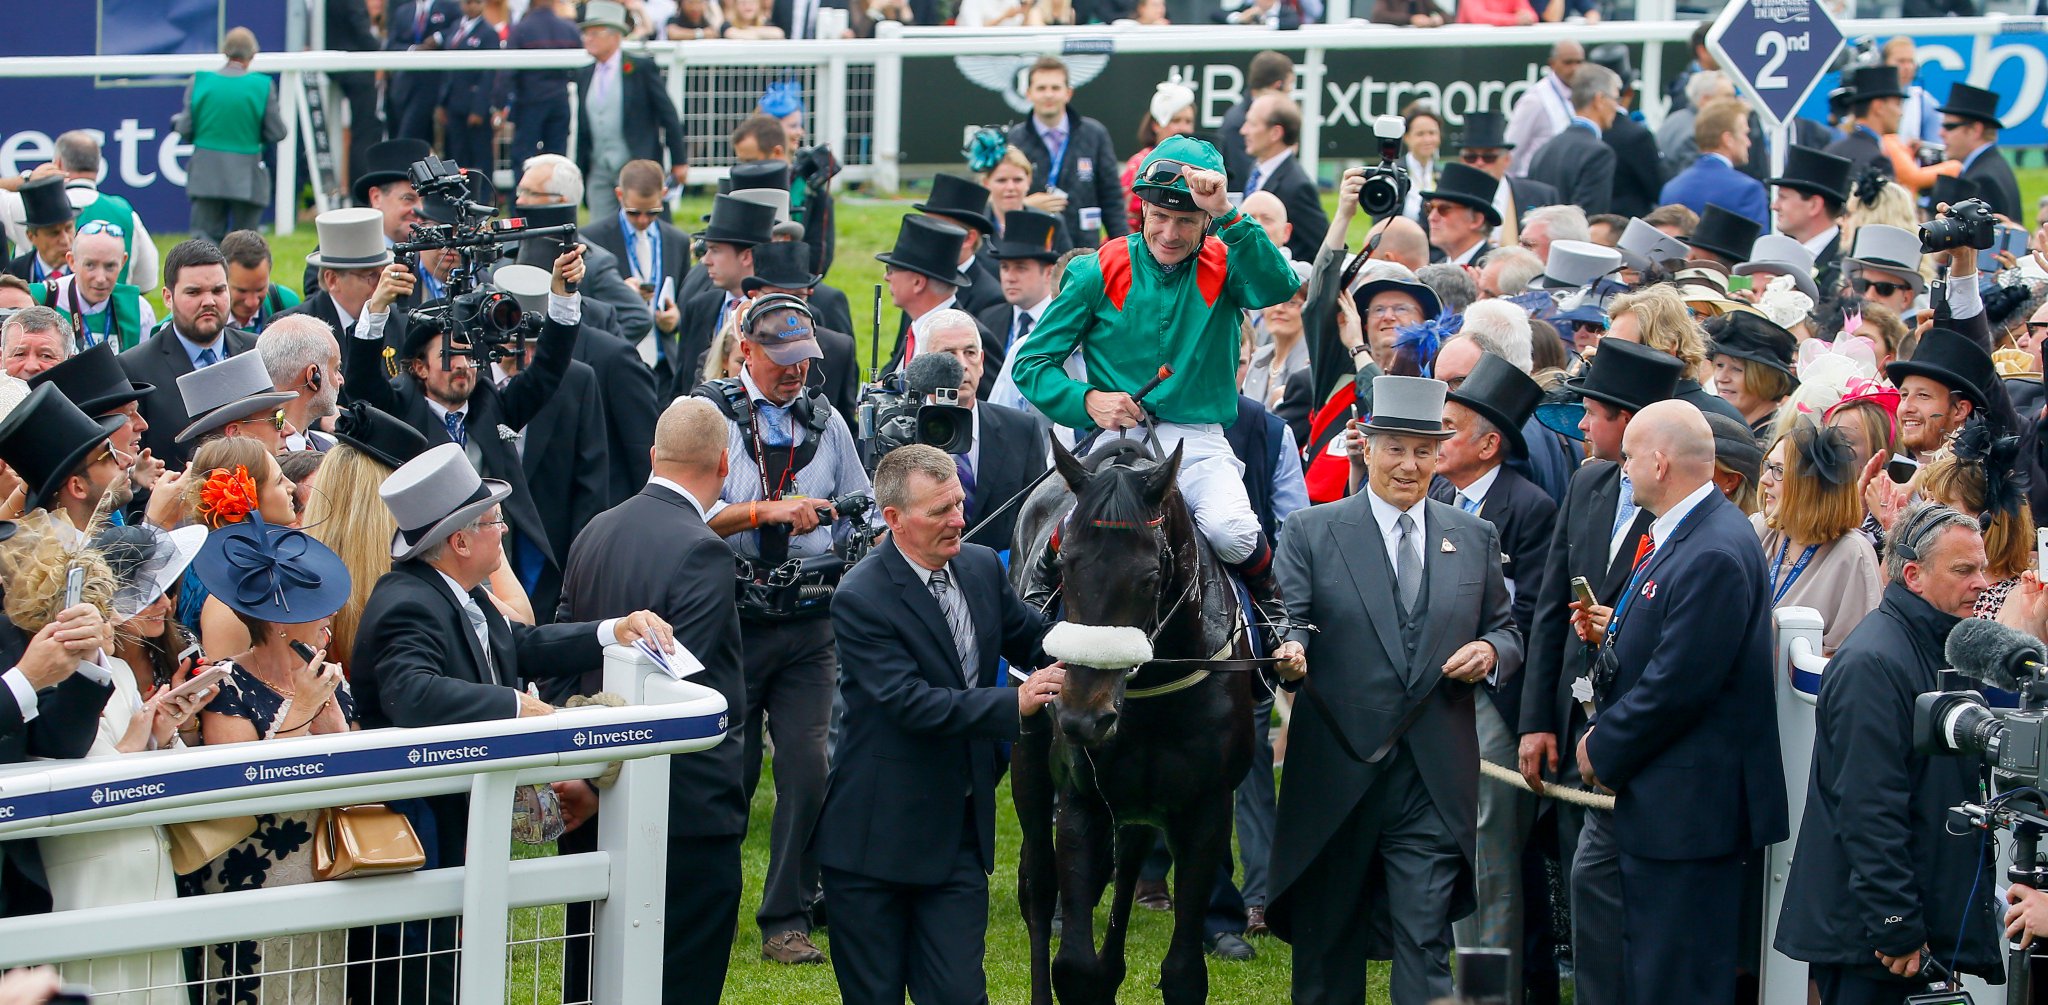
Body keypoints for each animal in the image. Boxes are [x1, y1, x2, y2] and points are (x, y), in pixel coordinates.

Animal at [1003, 438, 1245, 1005]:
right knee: (1038, 887)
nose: (1081, 716)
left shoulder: (1207, 808)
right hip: (1029, 762)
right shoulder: (1082, 799)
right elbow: (1074, 967)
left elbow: (1183, 974)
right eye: (1063, 562)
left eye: (1150, 576)